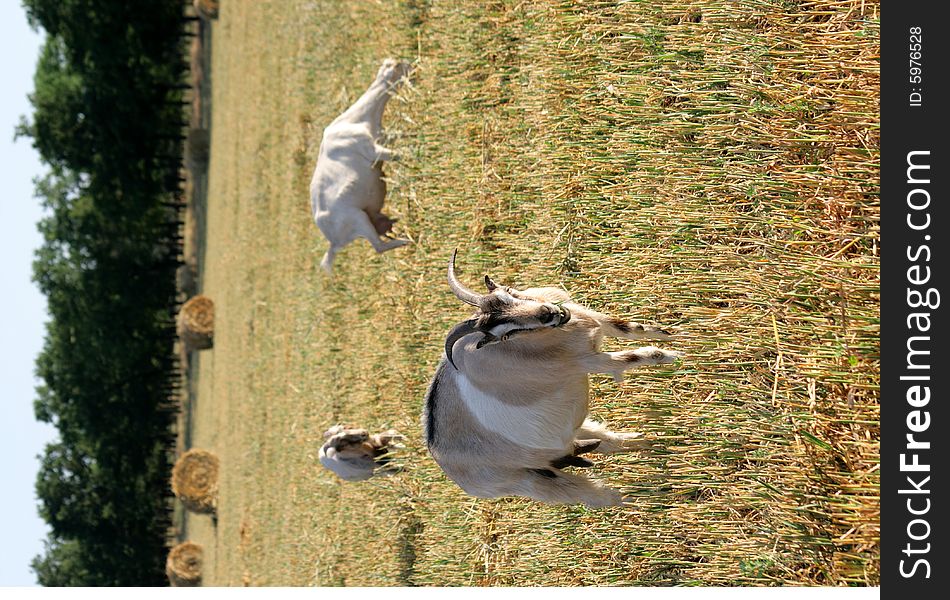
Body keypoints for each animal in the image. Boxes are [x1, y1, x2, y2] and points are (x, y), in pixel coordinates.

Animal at [310, 57, 410, 274]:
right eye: (399, 65)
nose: (411, 64)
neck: (355, 120)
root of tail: (333, 242)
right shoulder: (373, 150)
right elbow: (397, 154)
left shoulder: (382, 138)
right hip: (357, 218)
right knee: (379, 247)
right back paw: (406, 241)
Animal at [424, 251, 684, 508]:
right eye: (507, 334)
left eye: (509, 292)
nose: (548, 313)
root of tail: (449, 467)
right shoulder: (590, 362)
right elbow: (638, 355)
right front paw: (677, 356)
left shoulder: (591, 320)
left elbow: (631, 328)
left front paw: (677, 334)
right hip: (535, 481)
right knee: (601, 496)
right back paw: (647, 498)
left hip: (564, 438)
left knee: (605, 441)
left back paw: (651, 444)